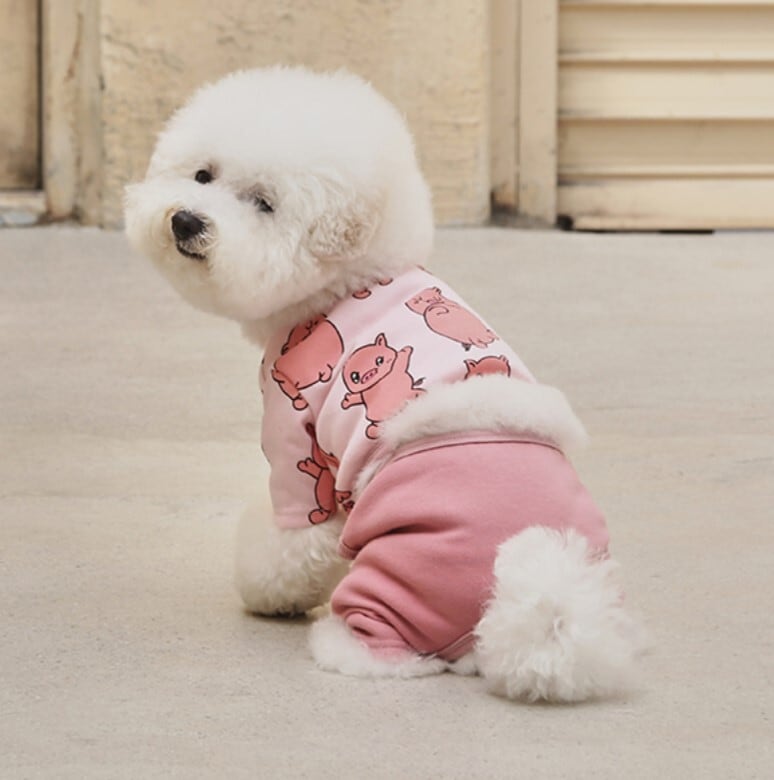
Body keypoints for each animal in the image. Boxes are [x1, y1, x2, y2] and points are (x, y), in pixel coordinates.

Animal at [125, 66, 642, 702]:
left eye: (264, 204)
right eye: (203, 175)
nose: (186, 220)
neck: (351, 281)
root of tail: (547, 613)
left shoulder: (293, 441)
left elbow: (290, 541)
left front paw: (269, 593)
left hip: (400, 579)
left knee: (394, 656)